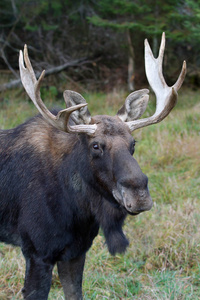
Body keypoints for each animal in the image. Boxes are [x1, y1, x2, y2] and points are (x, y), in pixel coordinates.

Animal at [0, 33, 186, 300]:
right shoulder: (37, 251)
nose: (139, 194)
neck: (79, 209)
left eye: (133, 143)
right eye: (96, 145)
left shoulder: (76, 251)